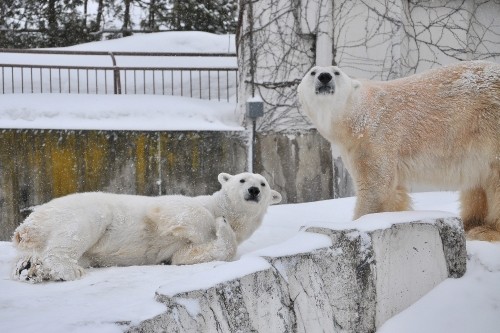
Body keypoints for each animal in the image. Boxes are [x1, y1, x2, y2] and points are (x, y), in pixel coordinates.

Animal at [10, 172, 282, 282]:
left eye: (264, 183)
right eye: (242, 179)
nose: (254, 190)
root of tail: (26, 226)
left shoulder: (180, 250)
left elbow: (185, 256)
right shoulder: (172, 206)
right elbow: (182, 212)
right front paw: (215, 224)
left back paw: (30, 269)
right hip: (81, 211)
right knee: (79, 230)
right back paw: (67, 270)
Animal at [298, 60, 498, 241]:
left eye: (336, 72)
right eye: (313, 72)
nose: (325, 77)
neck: (358, 118)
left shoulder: (376, 136)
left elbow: (375, 186)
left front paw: (358, 223)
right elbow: (394, 192)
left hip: (489, 126)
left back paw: (486, 231)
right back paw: (471, 223)